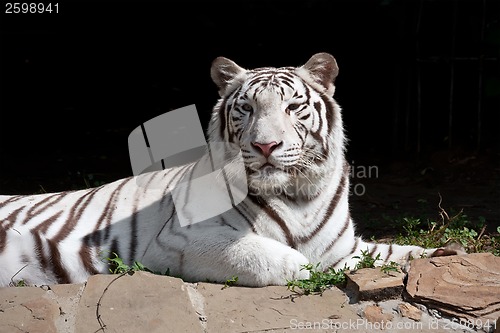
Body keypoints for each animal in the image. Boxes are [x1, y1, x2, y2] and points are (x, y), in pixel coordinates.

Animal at [0, 53, 458, 286]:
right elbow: (284, 260)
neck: (299, 195)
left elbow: (393, 251)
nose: (265, 145)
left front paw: (446, 254)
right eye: (247, 108)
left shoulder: (343, 245)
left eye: (293, 107)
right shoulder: (178, 242)